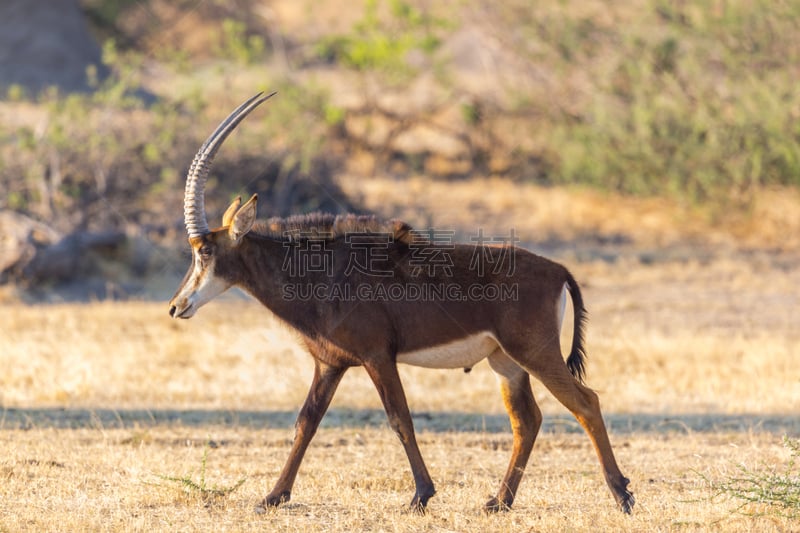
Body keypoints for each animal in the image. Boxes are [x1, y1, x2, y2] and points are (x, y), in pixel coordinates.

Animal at [169, 93, 632, 512]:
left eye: (204, 251)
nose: (176, 306)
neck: (323, 271)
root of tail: (559, 270)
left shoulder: (378, 356)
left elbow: (399, 419)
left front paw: (421, 495)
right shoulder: (330, 363)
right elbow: (306, 422)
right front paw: (272, 497)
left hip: (535, 352)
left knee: (586, 403)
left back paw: (622, 495)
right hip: (505, 362)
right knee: (527, 421)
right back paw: (499, 502)